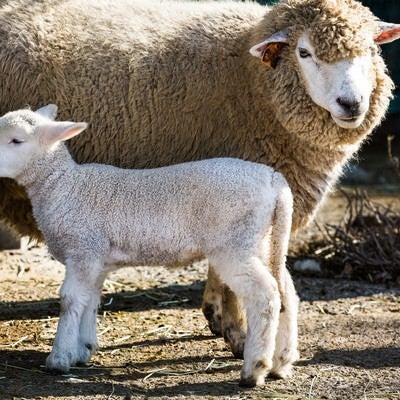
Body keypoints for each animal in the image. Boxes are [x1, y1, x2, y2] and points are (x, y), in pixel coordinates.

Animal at [0, 104, 296, 388]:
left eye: (16, 140)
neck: (63, 187)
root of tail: (274, 180)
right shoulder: (95, 260)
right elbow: (90, 300)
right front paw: (84, 349)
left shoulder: (82, 250)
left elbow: (69, 300)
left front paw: (59, 358)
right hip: (262, 239)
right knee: (287, 292)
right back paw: (281, 362)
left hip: (235, 244)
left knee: (266, 295)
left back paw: (254, 370)